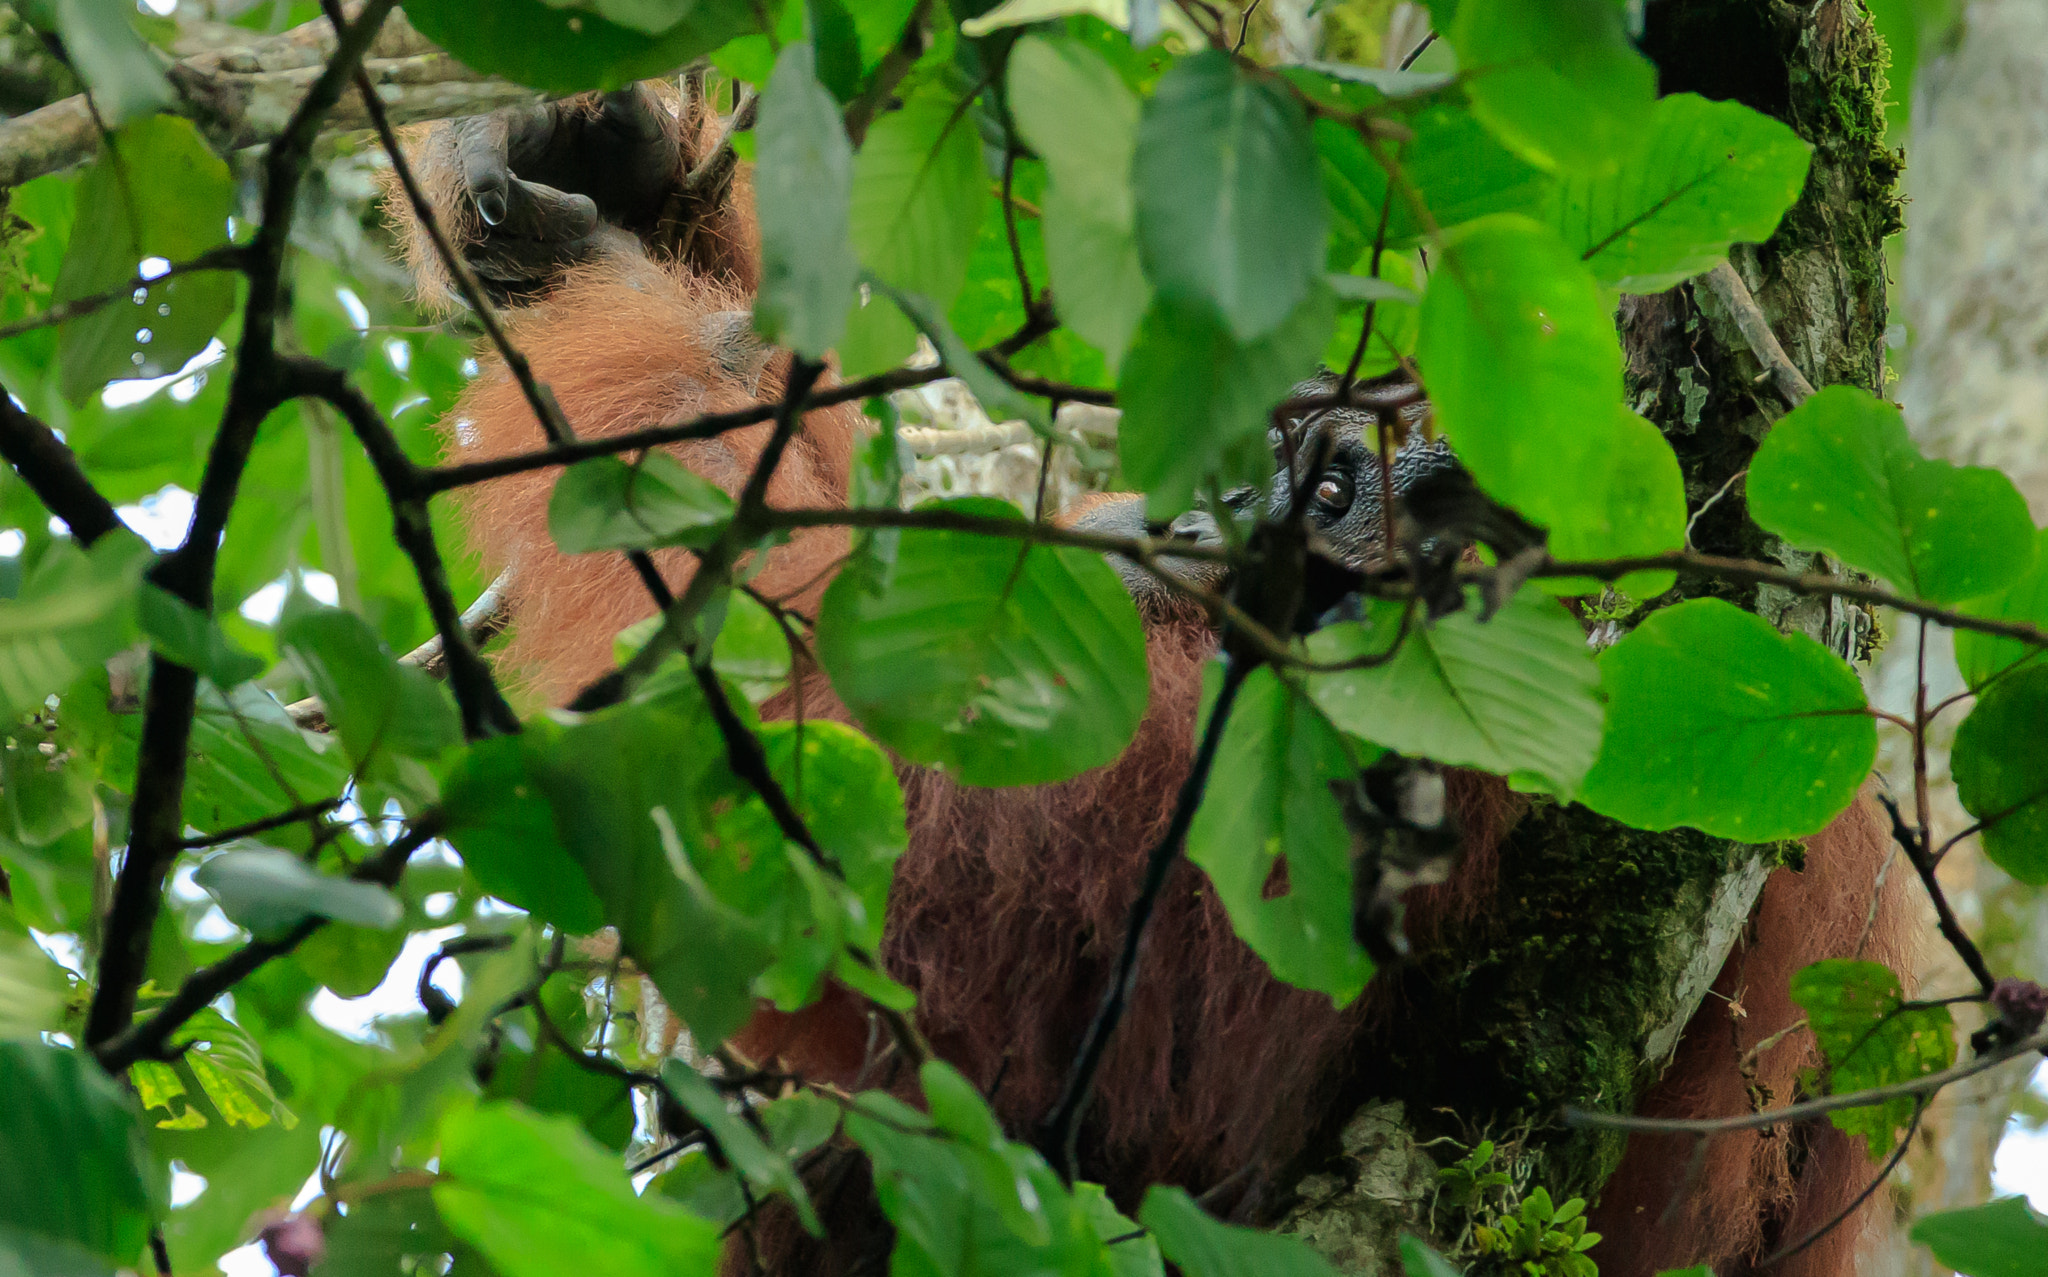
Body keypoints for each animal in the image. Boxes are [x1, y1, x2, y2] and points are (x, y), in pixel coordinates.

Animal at [380, 86, 1918, 1277]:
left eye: (1335, 491)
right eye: (1280, 449)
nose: (1200, 510)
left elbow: (863, 823)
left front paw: (621, 275)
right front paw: (613, 169)